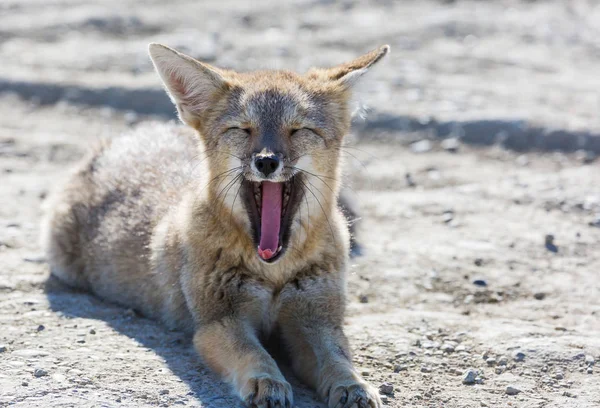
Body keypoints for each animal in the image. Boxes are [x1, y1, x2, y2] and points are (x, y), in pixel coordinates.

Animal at [42, 43, 390, 406]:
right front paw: (267, 381)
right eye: (242, 129)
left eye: (298, 129)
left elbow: (336, 357)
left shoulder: (316, 320)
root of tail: (129, 135)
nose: (266, 161)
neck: (273, 272)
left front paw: (353, 385)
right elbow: (254, 353)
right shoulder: (218, 322)